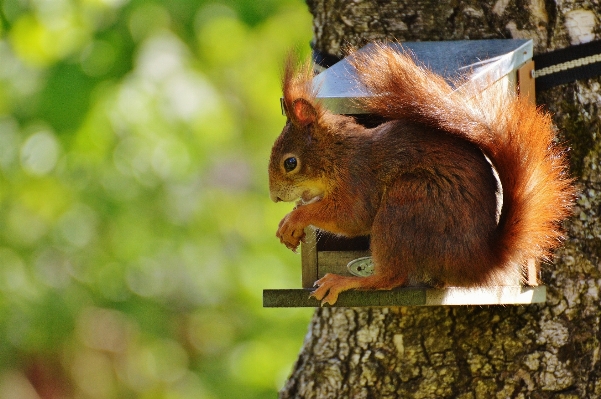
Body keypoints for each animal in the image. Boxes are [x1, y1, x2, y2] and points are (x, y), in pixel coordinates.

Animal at [266, 43, 572, 306]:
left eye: (290, 163)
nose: (274, 197)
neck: (337, 154)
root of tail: (478, 260)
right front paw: (291, 223)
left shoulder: (357, 178)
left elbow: (351, 217)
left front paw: (295, 218)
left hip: (406, 205)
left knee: (391, 277)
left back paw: (343, 281)